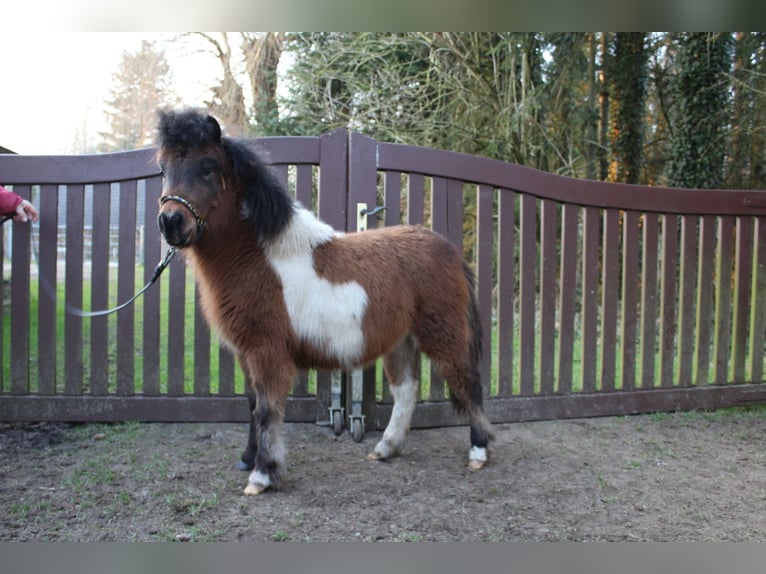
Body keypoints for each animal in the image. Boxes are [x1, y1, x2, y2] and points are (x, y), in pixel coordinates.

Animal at [156, 109, 495, 495]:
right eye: (163, 169)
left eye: (208, 166)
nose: (171, 221)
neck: (263, 257)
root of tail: (450, 250)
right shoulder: (246, 353)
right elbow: (253, 405)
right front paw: (248, 459)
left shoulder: (267, 353)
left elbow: (267, 410)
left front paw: (262, 474)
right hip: (401, 341)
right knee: (407, 391)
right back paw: (385, 449)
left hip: (444, 335)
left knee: (467, 384)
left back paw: (478, 452)